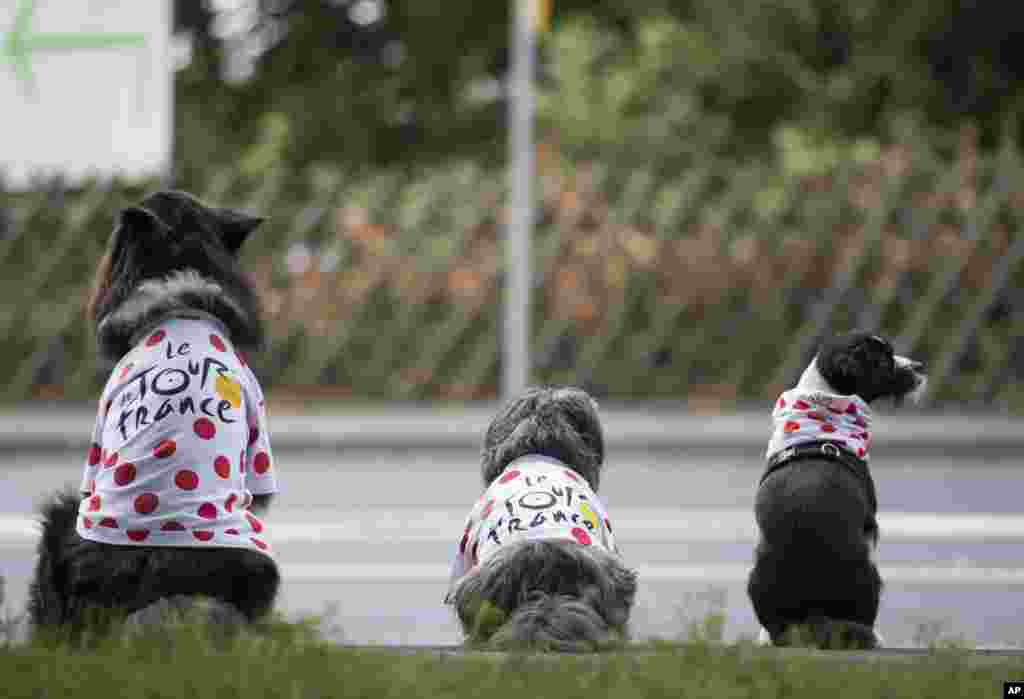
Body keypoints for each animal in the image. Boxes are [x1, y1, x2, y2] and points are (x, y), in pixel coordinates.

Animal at [745, 333, 929, 650]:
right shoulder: (870, 523)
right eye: (884, 360)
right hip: (870, 572)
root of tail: (816, 616)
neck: (822, 402)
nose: (919, 366)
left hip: (755, 572)